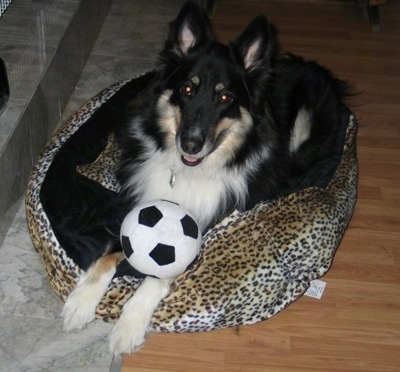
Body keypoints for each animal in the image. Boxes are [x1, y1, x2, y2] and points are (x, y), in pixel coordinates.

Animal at [60, 0, 350, 354]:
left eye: (225, 98)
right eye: (187, 89)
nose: (191, 144)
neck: (190, 170)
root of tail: (319, 69)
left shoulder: (201, 226)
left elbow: (158, 273)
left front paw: (128, 327)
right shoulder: (139, 205)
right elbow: (109, 253)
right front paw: (80, 303)